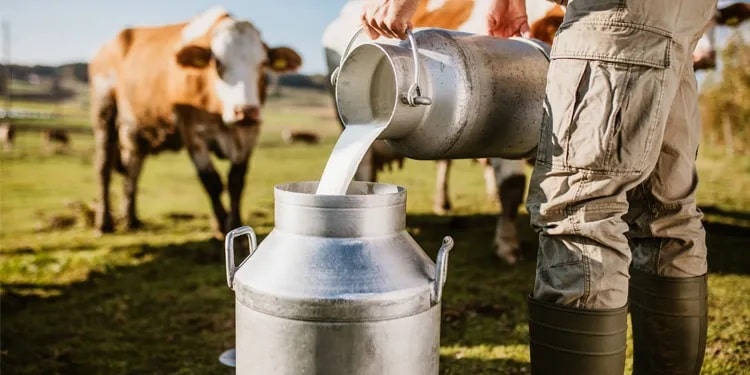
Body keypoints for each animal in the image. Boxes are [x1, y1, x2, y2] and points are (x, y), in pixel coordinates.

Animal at [92, 7, 304, 236]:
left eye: (263, 64)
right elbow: (211, 181)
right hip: (105, 113)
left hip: (136, 130)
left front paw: (235, 223)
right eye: (217, 63)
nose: (245, 111)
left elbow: (236, 181)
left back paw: (131, 218)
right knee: (104, 168)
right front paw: (220, 225)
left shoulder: (249, 133)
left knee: (133, 169)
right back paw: (104, 222)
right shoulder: (192, 131)